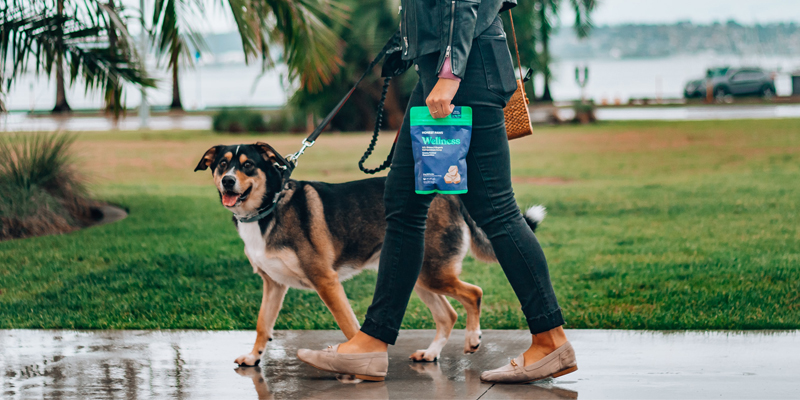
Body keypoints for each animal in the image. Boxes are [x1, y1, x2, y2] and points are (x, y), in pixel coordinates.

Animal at [195, 142, 548, 368]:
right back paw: (431, 353)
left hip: (433, 273)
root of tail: (446, 195)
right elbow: (262, 324)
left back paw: (473, 339)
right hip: (417, 275)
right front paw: (254, 358)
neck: (268, 209)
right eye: (222, 164)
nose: (227, 181)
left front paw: (359, 362)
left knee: (473, 293)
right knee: (447, 314)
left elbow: (349, 326)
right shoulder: (273, 285)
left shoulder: (326, 281)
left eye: (248, 165)